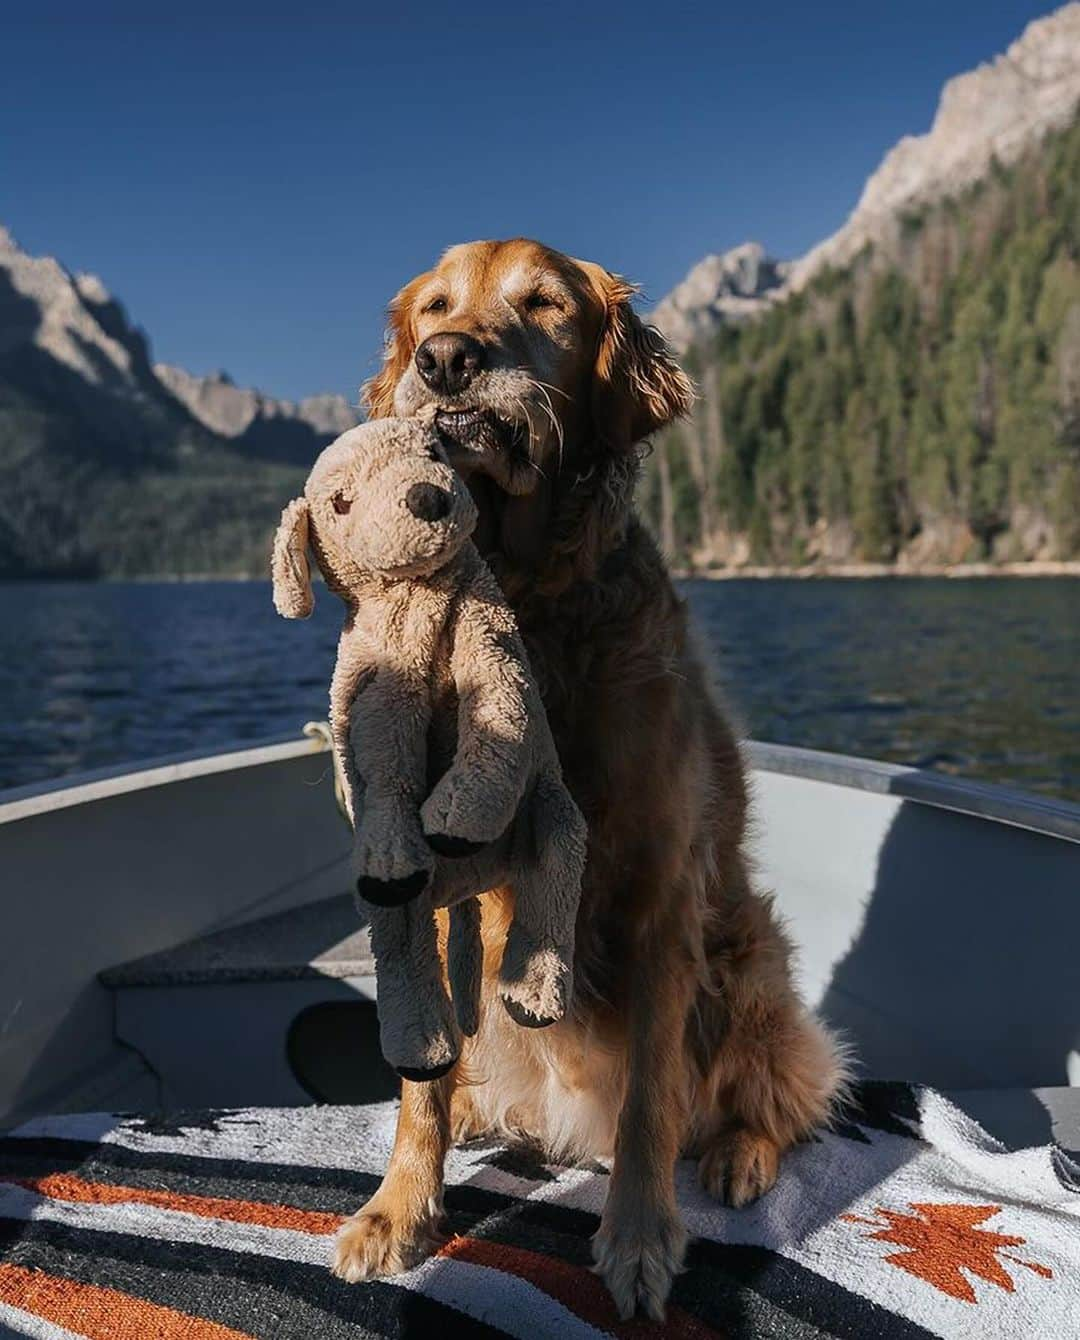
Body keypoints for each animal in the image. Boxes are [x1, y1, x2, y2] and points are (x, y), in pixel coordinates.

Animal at [333, 238, 852, 1318]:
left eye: (544, 305)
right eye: (434, 307)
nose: (446, 359)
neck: (531, 604)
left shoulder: (661, 888)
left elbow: (654, 1094)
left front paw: (642, 1239)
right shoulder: (424, 876)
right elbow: (416, 1091)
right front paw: (398, 1209)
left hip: (752, 960)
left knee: (770, 1095)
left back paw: (739, 1154)